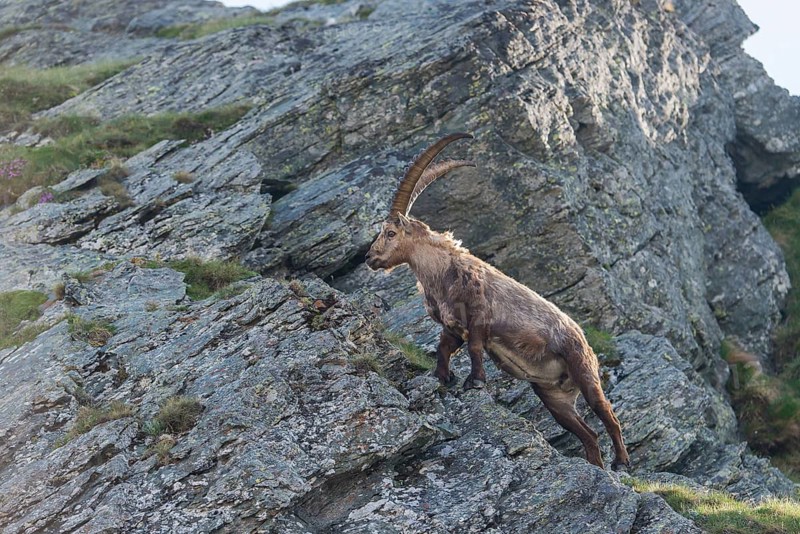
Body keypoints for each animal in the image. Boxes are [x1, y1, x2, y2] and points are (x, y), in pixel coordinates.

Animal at [366, 133, 630, 470]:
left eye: (390, 232)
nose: (369, 257)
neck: (441, 272)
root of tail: (585, 340)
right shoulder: (451, 325)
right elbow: (444, 348)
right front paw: (442, 377)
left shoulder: (479, 314)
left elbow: (476, 347)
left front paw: (475, 381)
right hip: (553, 396)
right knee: (587, 434)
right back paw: (595, 465)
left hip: (582, 369)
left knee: (607, 413)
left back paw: (620, 461)